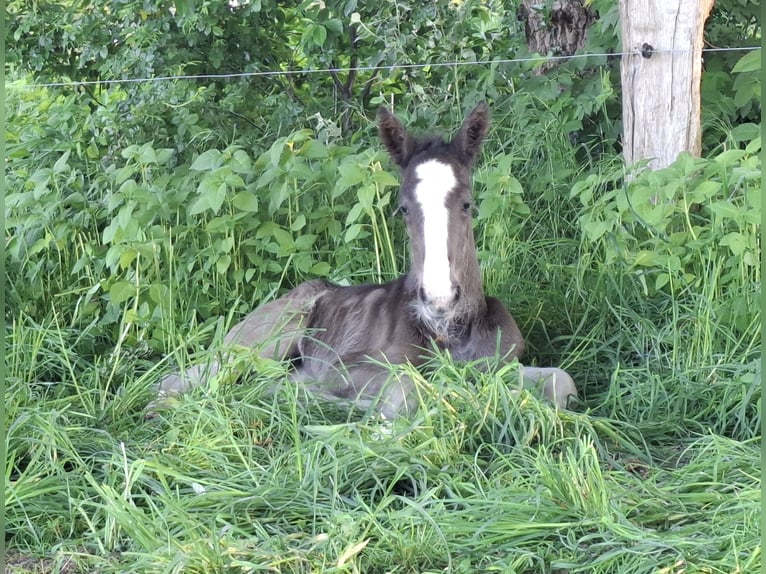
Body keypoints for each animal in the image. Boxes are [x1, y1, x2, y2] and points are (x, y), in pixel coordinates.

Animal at [149, 102, 577, 418]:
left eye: (468, 204)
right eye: (403, 208)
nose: (439, 299)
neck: (449, 335)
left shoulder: (501, 363)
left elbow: (561, 382)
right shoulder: (347, 366)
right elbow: (408, 384)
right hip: (262, 341)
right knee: (181, 381)